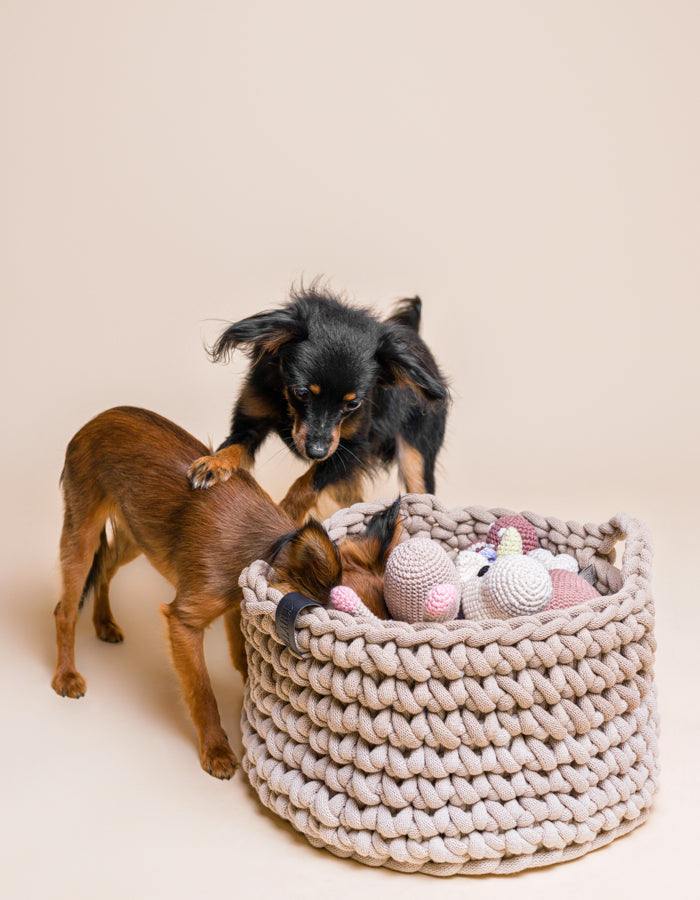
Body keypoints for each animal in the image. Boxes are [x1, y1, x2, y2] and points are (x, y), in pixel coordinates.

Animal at [52, 408, 402, 780]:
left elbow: (241, 660)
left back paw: (104, 622)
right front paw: (216, 750)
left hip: (137, 533)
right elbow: (202, 691)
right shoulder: (184, 622)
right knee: (66, 608)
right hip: (82, 535)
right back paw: (66, 675)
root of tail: (101, 417)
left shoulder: (238, 606)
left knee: (104, 566)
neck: (272, 548)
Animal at [187, 284, 448, 524]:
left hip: (415, 460)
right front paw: (214, 463)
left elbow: (308, 483)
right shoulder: (250, 424)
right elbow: (233, 446)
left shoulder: (350, 450)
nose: (317, 452)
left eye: (353, 404)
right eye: (302, 392)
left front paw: (287, 513)